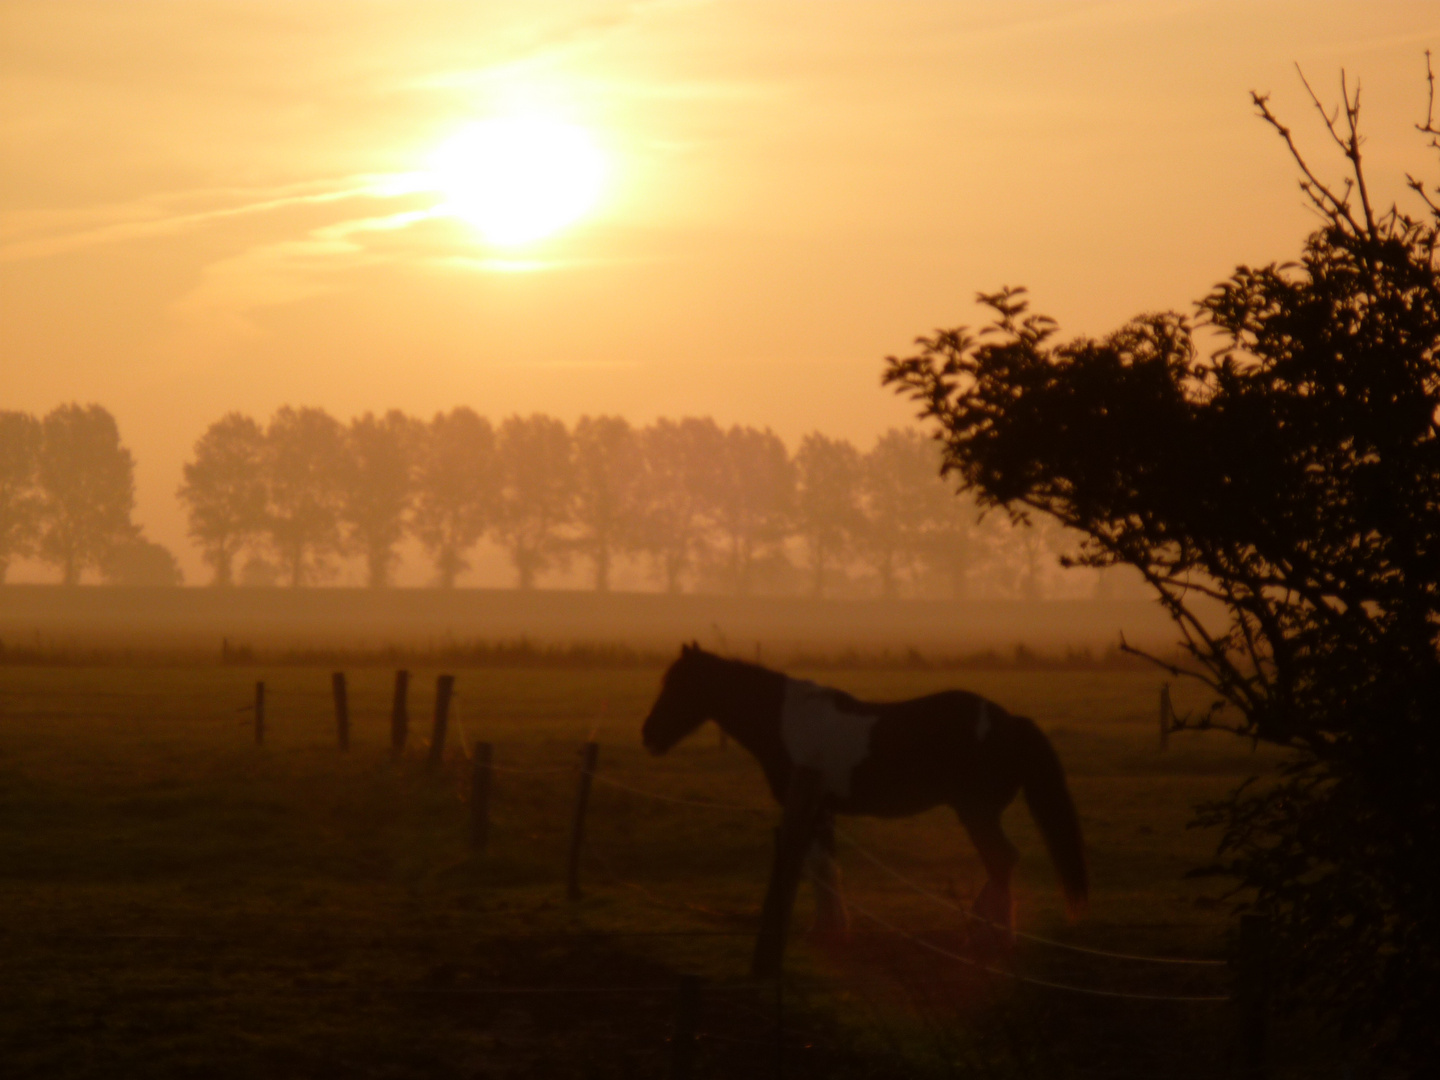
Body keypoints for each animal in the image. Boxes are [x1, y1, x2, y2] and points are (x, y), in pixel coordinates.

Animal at [639, 648, 1082, 944]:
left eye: (678, 685)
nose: (649, 734)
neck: (789, 723)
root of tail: (1009, 721)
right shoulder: (824, 811)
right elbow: (827, 867)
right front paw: (834, 925)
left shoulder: (812, 808)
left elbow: (819, 867)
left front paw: (826, 930)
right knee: (1000, 862)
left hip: (977, 812)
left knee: (1001, 859)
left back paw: (993, 933)